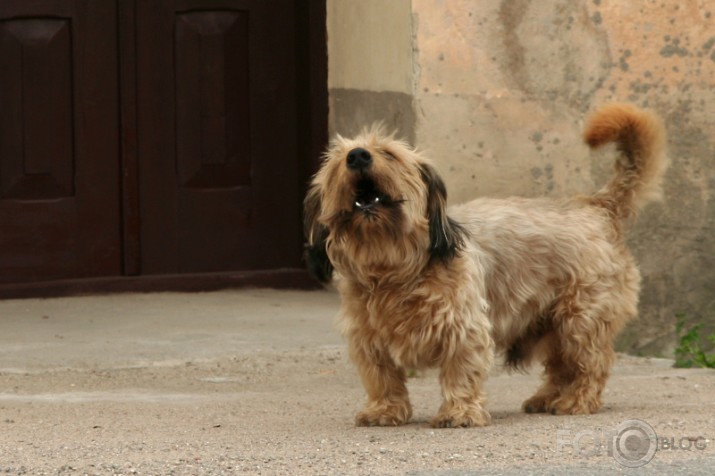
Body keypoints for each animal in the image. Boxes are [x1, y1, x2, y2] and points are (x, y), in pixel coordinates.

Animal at [304, 103, 668, 428]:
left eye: (389, 154)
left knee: (592, 364)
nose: (357, 156)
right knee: (561, 366)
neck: (393, 269)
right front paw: (384, 411)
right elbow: (382, 379)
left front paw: (459, 413)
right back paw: (546, 398)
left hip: (580, 320)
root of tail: (596, 206)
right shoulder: (368, 340)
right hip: (551, 325)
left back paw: (577, 401)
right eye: (337, 162)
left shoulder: (463, 330)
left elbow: (460, 373)